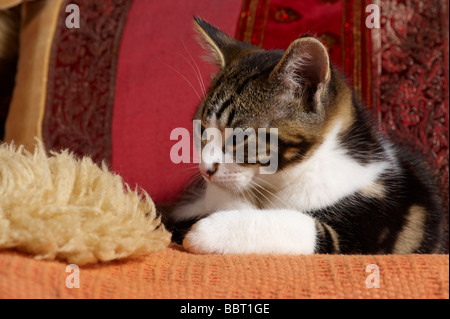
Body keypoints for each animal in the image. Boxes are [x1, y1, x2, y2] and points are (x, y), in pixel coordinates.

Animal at [161, 17, 442, 256]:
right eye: (202, 130)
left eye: (239, 138)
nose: (205, 170)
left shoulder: (367, 228)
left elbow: (302, 226)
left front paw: (209, 231)